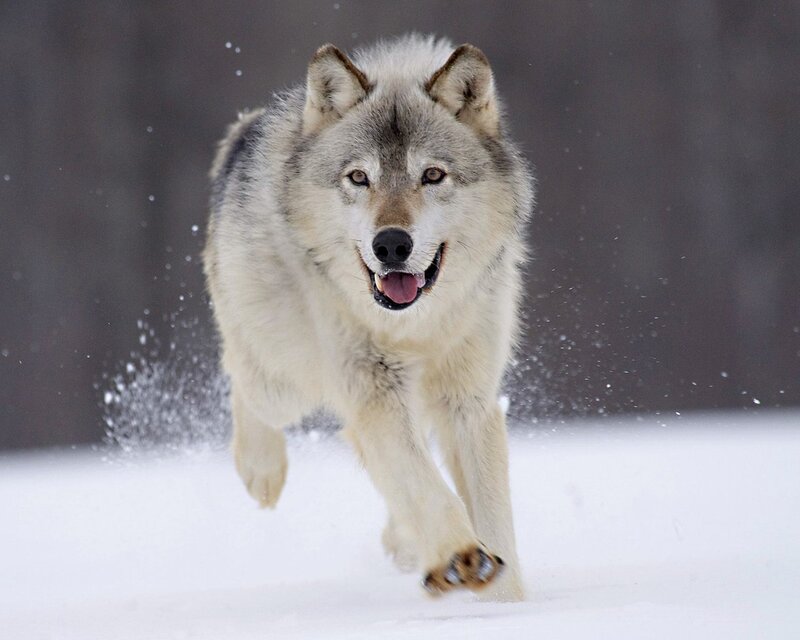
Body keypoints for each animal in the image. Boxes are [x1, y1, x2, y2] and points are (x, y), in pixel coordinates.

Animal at [203, 34, 533, 601]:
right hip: (284, 379)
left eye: (432, 175)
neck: (415, 326)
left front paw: (505, 599)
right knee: (243, 379)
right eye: (359, 177)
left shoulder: (469, 400)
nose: (391, 244)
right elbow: (424, 484)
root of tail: (244, 130)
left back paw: (404, 544)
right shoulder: (373, 389)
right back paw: (261, 471)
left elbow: (491, 515)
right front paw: (460, 556)